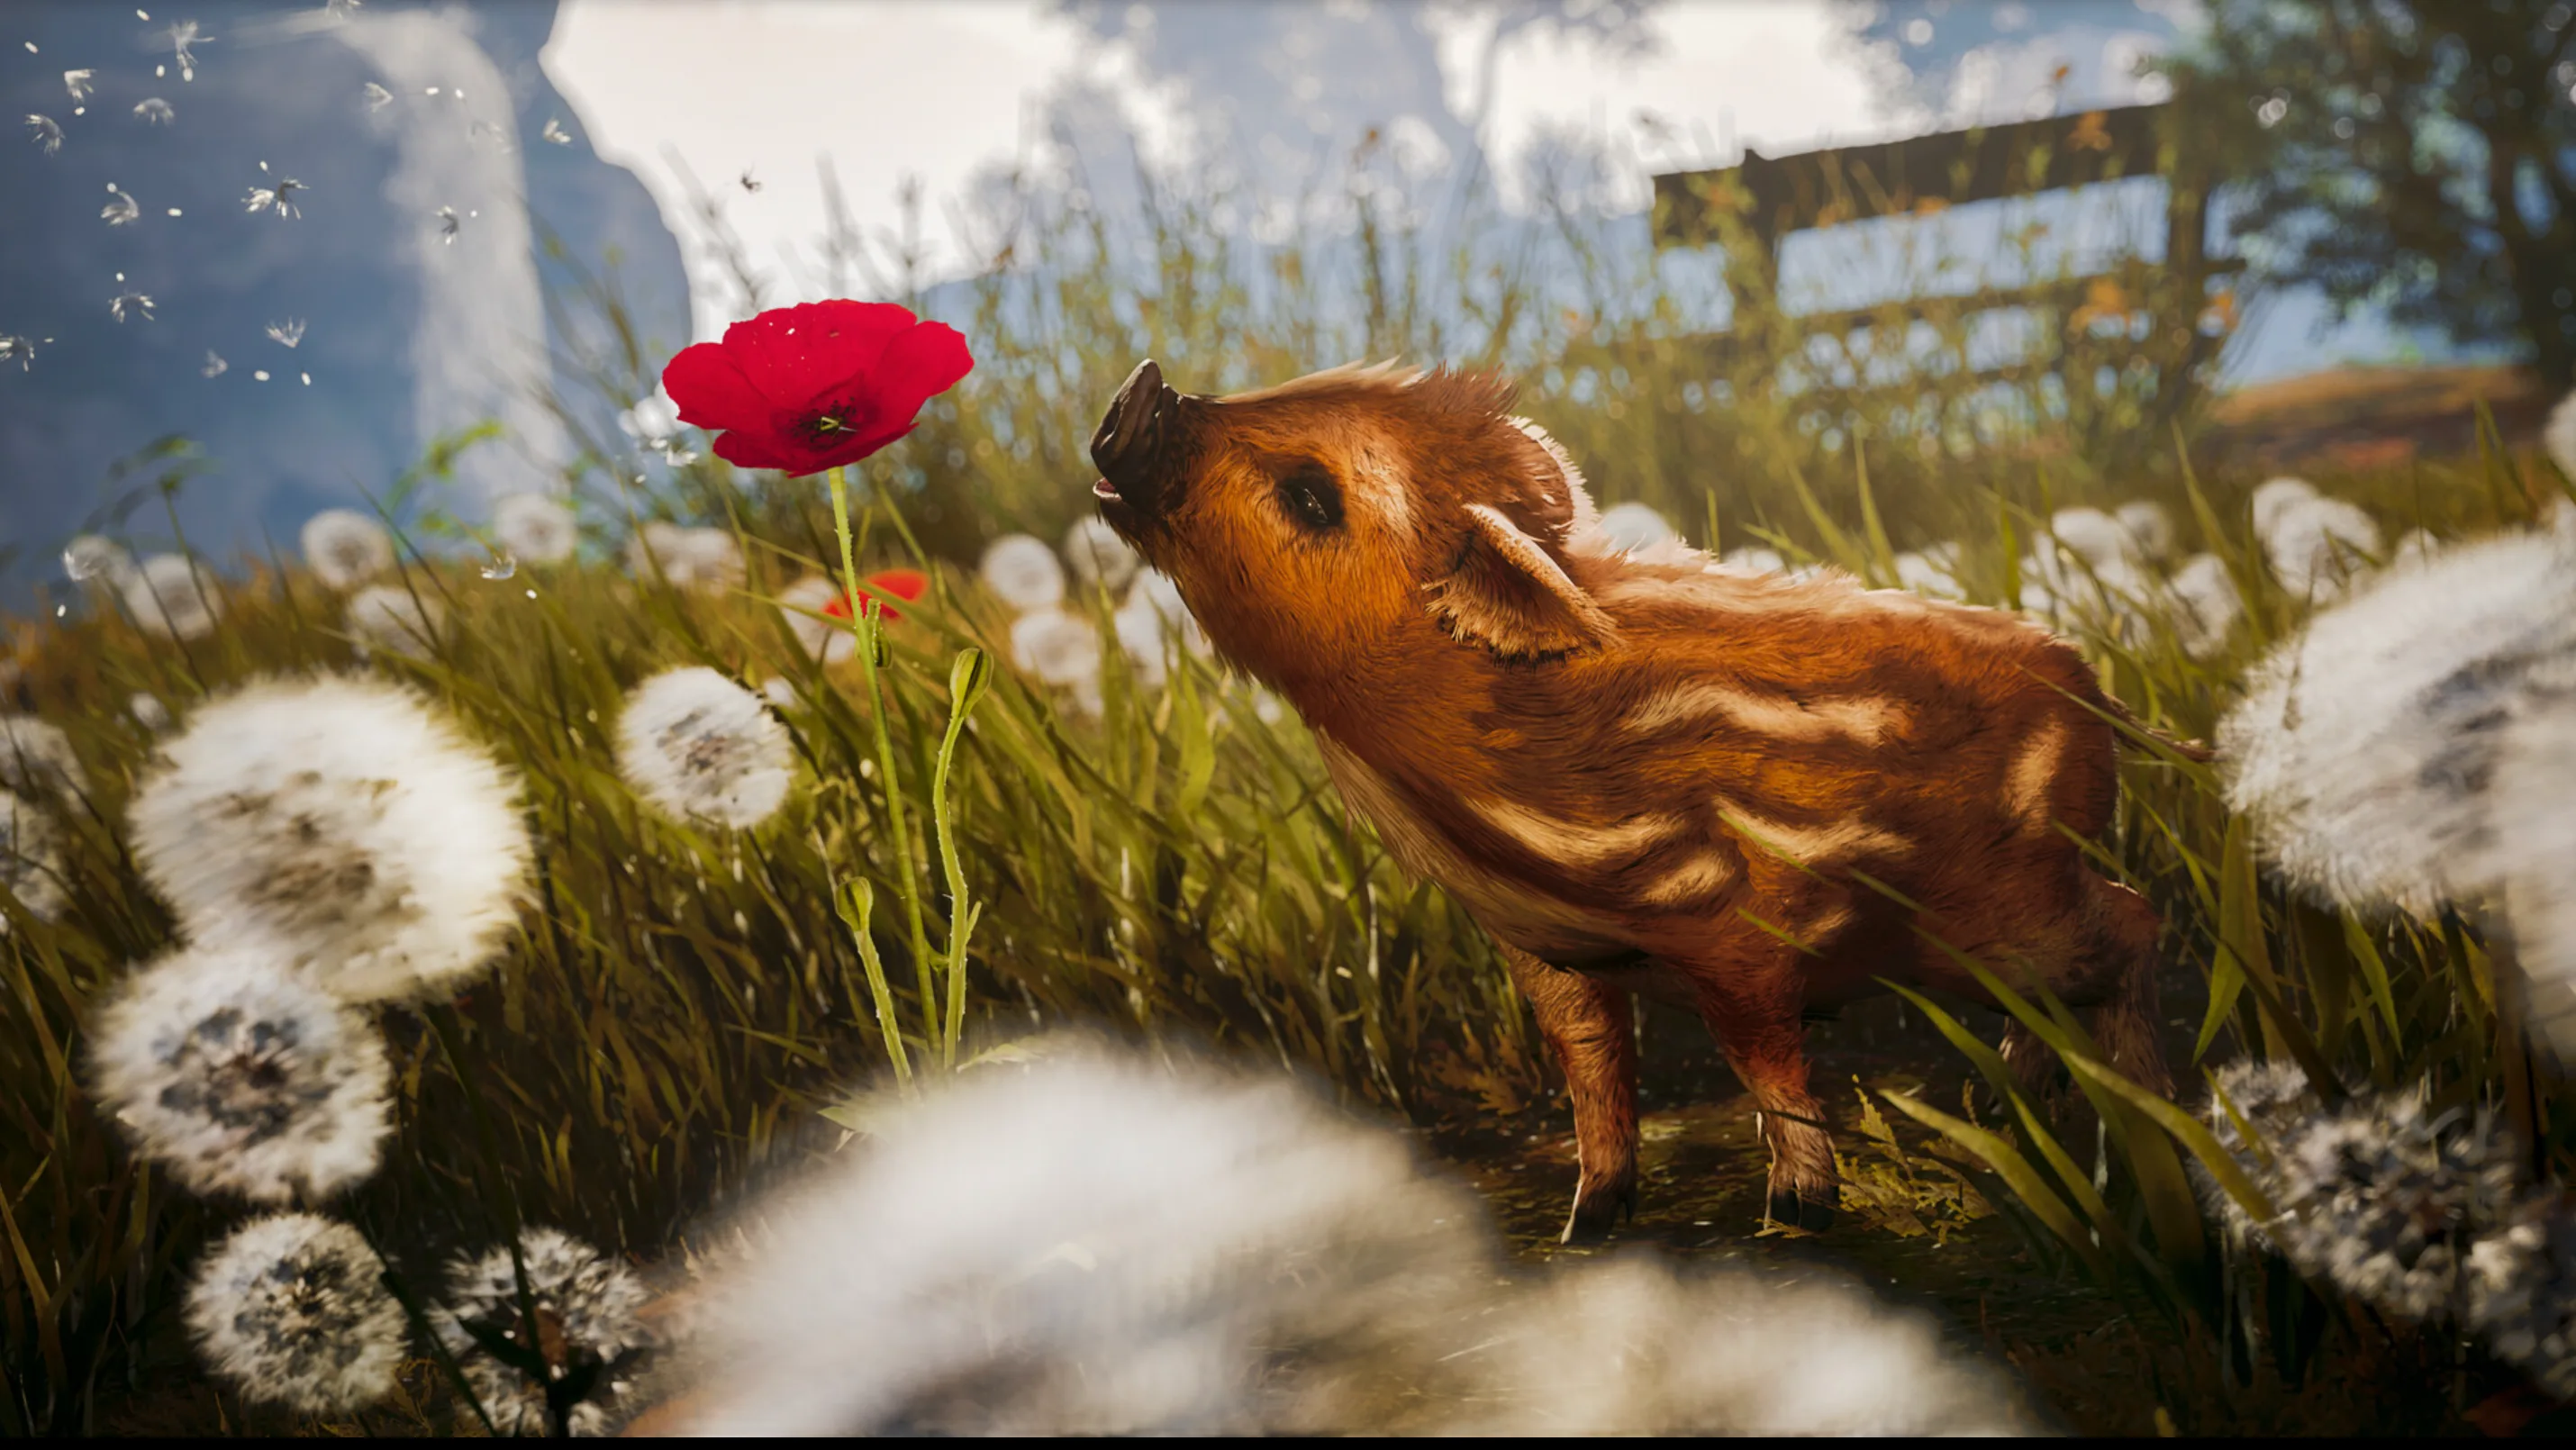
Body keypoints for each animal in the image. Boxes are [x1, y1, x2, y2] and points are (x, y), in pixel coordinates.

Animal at [1086, 358, 2189, 1241]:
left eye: (1313, 497)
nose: (1139, 389)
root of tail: (2099, 692)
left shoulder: (1737, 920)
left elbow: (1764, 1062)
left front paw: (1794, 1215)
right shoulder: (1546, 952)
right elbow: (1591, 1069)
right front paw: (1587, 1224)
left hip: (2001, 909)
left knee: (2137, 920)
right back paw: (2014, 1106)